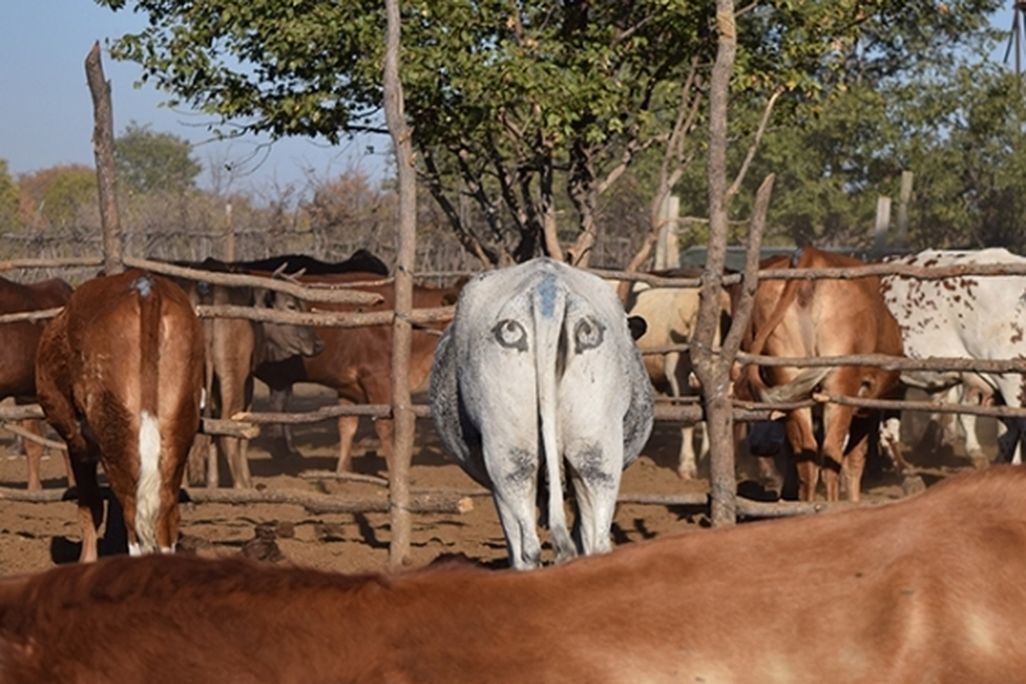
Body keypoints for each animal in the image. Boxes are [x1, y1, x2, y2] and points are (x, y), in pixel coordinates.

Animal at [35, 270, 204, 562]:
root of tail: (147, 289)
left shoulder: (78, 443)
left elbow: (89, 507)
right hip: (177, 429)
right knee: (166, 517)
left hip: (115, 433)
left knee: (133, 518)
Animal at [734, 246, 903, 502]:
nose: (758, 446)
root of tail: (811, 254)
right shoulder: (865, 407)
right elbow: (855, 460)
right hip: (839, 384)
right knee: (831, 454)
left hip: (789, 377)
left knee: (807, 456)